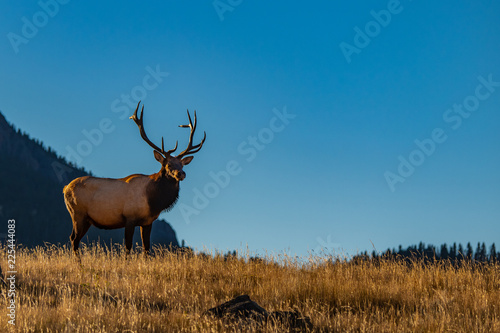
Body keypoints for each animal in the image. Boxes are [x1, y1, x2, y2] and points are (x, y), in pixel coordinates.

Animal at [63, 102, 206, 255]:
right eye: (168, 164)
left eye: (182, 165)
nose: (181, 174)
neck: (153, 201)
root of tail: (65, 188)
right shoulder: (129, 218)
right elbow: (128, 247)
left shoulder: (148, 222)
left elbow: (147, 249)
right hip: (77, 213)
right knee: (74, 239)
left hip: (86, 219)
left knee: (74, 238)